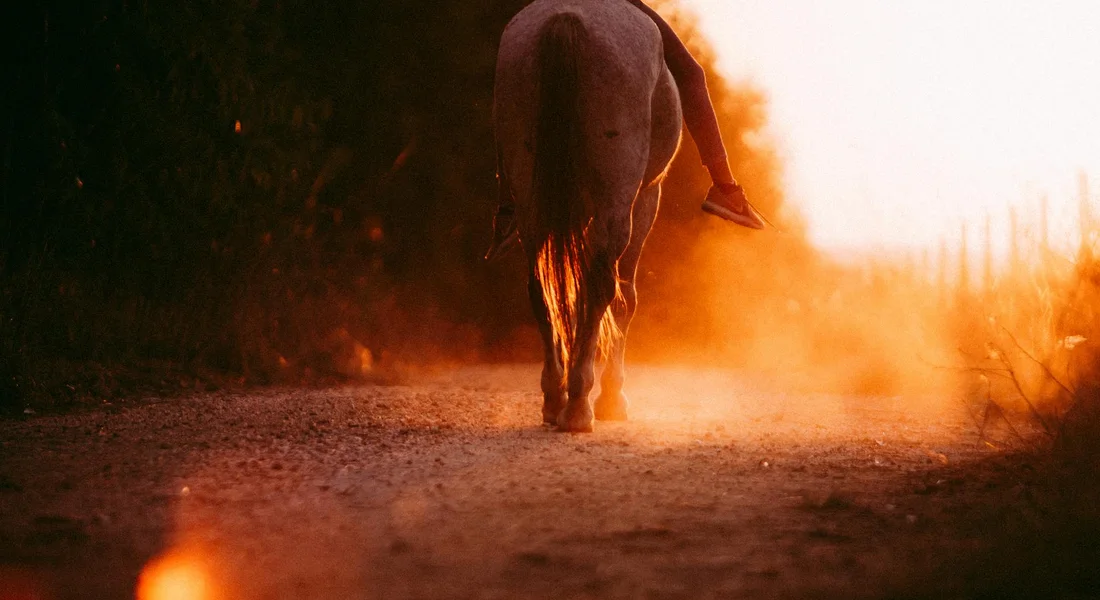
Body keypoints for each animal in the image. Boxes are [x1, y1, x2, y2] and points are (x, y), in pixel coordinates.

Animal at [494, 0, 683, 432]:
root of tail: (567, 19)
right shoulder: (645, 199)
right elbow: (625, 298)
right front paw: (614, 399)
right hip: (618, 199)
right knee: (602, 287)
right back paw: (580, 404)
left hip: (531, 200)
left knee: (539, 286)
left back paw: (554, 398)